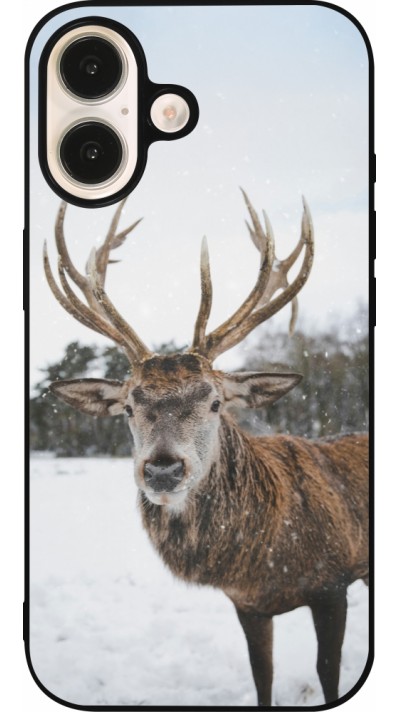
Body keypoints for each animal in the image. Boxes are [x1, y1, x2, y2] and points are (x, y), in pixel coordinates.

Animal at [43, 191, 369, 706]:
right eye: (129, 407)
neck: (266, 558)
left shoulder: (333, 581)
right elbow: (262, 675)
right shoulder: (248, 604)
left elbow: (328, 673)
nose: (162, 470)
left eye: (215, 402)